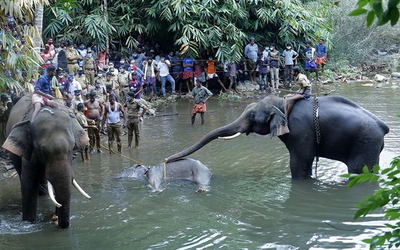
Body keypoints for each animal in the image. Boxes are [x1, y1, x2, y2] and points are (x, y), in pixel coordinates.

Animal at [1, 95, 90, 229]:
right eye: (42, 150)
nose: (56, 219)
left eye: (72, 148)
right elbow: (28, 184)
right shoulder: (30, 153)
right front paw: (29, 223)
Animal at [164, 94, 390, 179]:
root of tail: (383, 127)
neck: (284, 102)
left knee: (360, 170)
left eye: (252, 115)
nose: (166, 160)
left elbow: (301, 161)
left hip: (365, 143)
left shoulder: (301, 130)